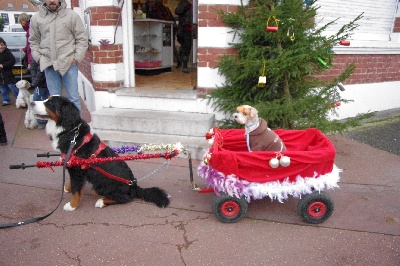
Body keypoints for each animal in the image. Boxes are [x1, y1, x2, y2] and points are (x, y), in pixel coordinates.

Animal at [31, 96, 169, 212]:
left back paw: (101, 202)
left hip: (100, 186)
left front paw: (71, 206)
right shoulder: (72, 166)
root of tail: (134, 186)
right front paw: (67, 188)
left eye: (49, 103)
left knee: (124, 198)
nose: (31, 102)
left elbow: (76, 190)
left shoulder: (77, 170)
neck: (71, 132)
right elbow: (73, 183)